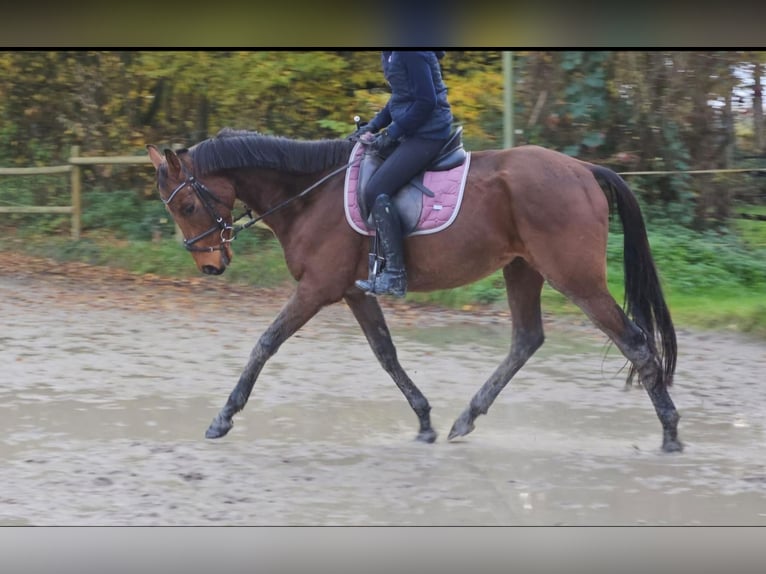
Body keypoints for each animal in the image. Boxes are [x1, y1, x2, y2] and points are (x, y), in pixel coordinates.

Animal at [146, 127, 684, 454]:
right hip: (523, 269)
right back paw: (466, 418)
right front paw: (424, 420)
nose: (210, 265)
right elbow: (386, 353)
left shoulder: (318, 288)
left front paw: (223, 417)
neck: (309, 196)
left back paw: (671, 432)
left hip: (575, 278)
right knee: (527, 339)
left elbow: (265, 342)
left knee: (634, 341)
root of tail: (583, 170)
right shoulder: (355, 291)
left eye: (188, 205)